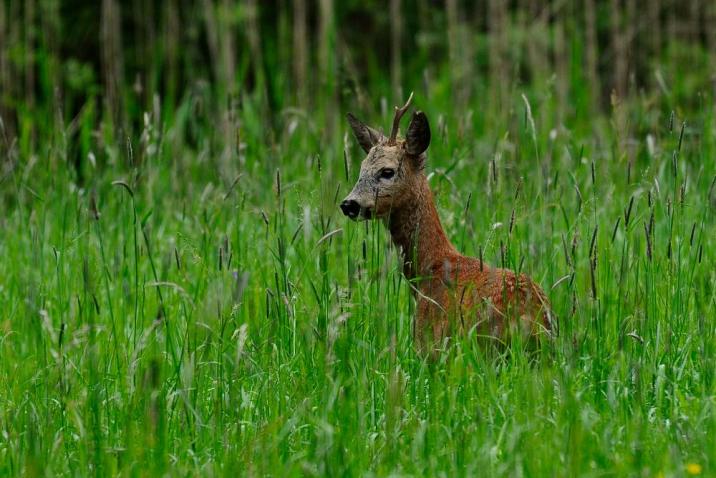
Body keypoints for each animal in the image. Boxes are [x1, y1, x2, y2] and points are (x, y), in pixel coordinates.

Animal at [342, 94, 552, 354]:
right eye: (360, 169)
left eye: (387, 171)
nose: (349, 204)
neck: (430, 269)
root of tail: (533, 315)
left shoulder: (428, 343)